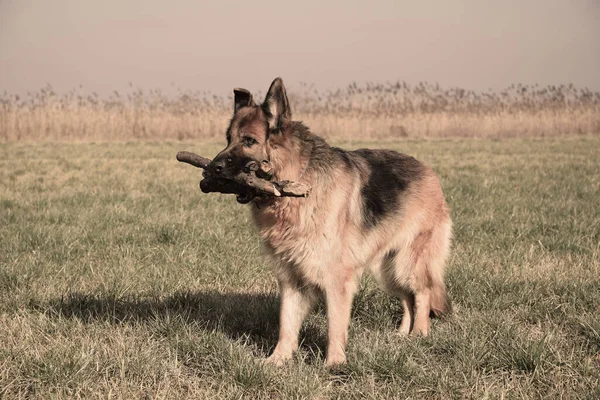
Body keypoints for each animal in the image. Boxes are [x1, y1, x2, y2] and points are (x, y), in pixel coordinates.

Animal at [206, 76, 450, 368]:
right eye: (228, 139)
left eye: (249, 141)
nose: (211, 169)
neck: (298, 181)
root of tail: (429, 171)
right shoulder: (291, 278)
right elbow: (286, 324)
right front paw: (277, 360)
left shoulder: (336, 280)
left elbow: (335, 325)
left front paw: (334, 364)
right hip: (386, 269)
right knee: (407, 298)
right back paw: (402, 334)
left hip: (407, 263)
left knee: (422, 293)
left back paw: (419, 334)